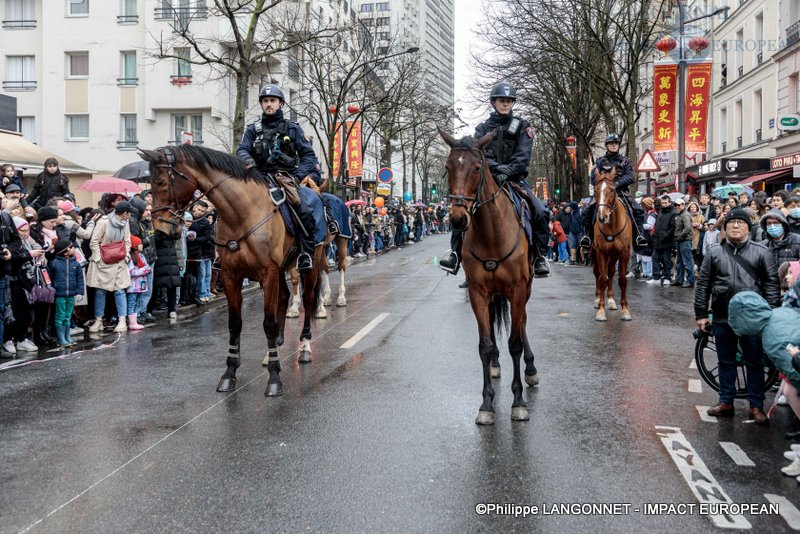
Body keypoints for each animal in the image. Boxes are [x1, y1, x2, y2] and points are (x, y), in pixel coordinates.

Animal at [141, 146, 324, 398]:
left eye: (160, 181)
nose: (160, 231)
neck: (242, 214)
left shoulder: (267, 273)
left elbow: (268, 323)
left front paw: (274, 379)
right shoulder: (230, 276)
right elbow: (235, 324)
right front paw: (229, 373)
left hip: (310, 263)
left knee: (307, 299)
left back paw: (304, 347)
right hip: (281, 268)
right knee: (285, 297)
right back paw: (274, 350)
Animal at [440, 132, 540, 430]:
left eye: (476, 168)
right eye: (448, 167)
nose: (457, 218)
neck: (491, 232)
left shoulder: (517, 289)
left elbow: (515, 342)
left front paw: (518, 402)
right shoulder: (479, 292)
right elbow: (484, 345)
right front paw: (486, 404)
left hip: (525, 289)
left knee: (522, 324)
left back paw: (531, 369)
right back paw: (496, 364)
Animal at [588, 165, 632, 322]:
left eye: (612, 189)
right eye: (595, 189)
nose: (602, 217)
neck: (612, 225)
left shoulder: (624, 253)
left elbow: (622, 280)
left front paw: (625, 310)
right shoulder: (601, 252)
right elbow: (602, 279)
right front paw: (601, 311)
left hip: (613, 255)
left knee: (612, 272)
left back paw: (612, 301)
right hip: (594, 253)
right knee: (598, 274)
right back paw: (597, 300)